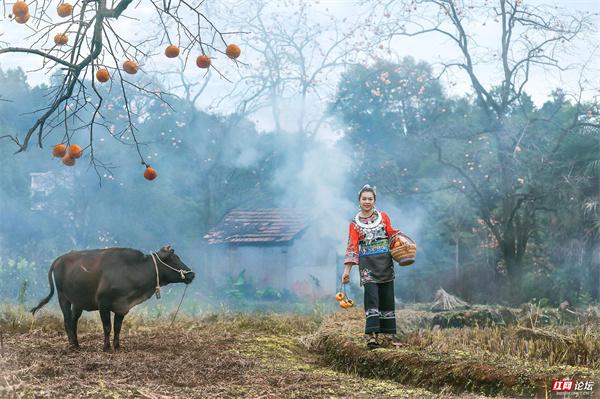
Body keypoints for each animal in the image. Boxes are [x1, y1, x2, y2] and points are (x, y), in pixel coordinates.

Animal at [30, 245, 195, 352]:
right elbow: (107, 327)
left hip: (78, 302)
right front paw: (106, 347)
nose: (192, 274)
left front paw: (117, 347)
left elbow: (117, 328)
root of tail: (59, 259)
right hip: (63, 297)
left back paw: (76, 345)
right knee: (66, 320)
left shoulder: (122, 307)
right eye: (174, 259)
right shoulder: (103, 304)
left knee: (73, 321)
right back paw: (71, 346)